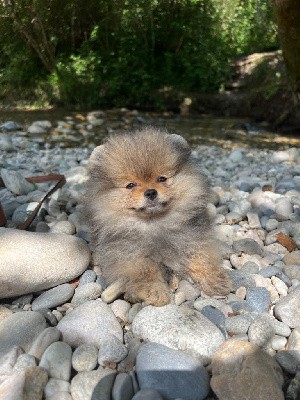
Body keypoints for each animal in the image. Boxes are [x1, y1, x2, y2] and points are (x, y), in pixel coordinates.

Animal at [84, 128, 232, 306]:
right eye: (131, 185)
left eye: (162, 179)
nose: (150, 192)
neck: (155, 223)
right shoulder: (129, 255)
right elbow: (146, 271)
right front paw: (155, 292)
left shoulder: (194, 238)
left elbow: (202, 259)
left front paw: (216, 280)